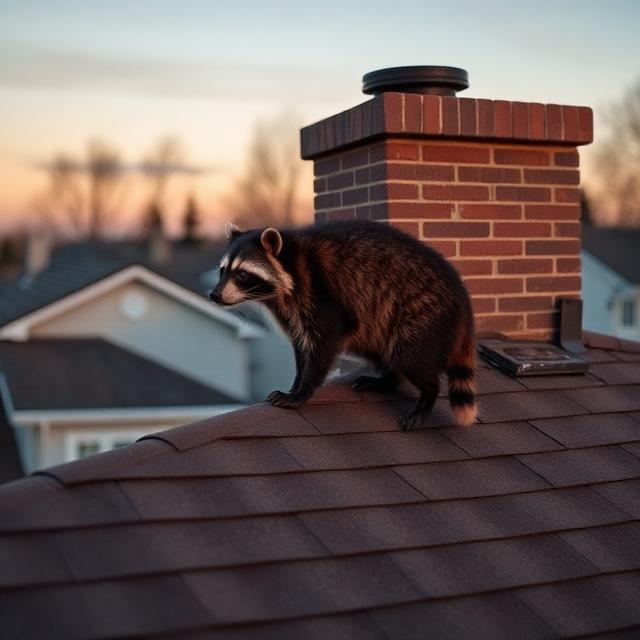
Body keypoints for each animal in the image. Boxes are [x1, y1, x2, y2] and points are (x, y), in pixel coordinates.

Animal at [209, 220, 477, 429]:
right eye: (222, 271)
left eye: (242, 274)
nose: (214, 295)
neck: (290, 261)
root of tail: (463, 302)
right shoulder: (291, 311)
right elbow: (302, 346)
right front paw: (296, 383)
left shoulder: (319, 290)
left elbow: (325, 341)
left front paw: (303, 390)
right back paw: (388, 378)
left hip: (421, 312)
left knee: (407, 353)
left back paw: (427, 394)